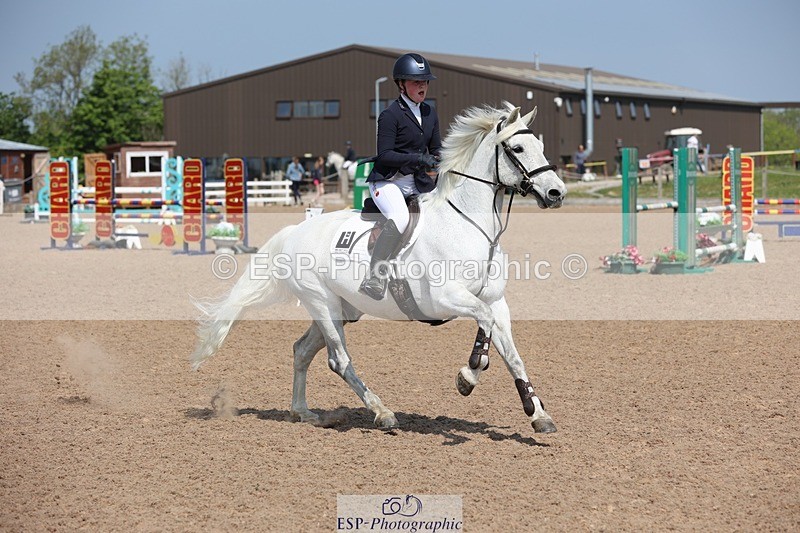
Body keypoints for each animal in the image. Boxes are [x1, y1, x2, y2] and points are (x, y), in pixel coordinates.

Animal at [191, 103, 567, 434]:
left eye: (540, 147)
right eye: (517, 147)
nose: (556, 193)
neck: (469, 225)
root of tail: (294, 232)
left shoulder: (496, 302)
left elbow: (512, 355)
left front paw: (538, 415)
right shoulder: (445, 298)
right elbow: (484, 330)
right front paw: (468, 377)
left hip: (342, 309)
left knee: (302, 351)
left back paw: (303, 412)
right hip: (323, 304)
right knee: (338, 360)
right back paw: (382, 412)